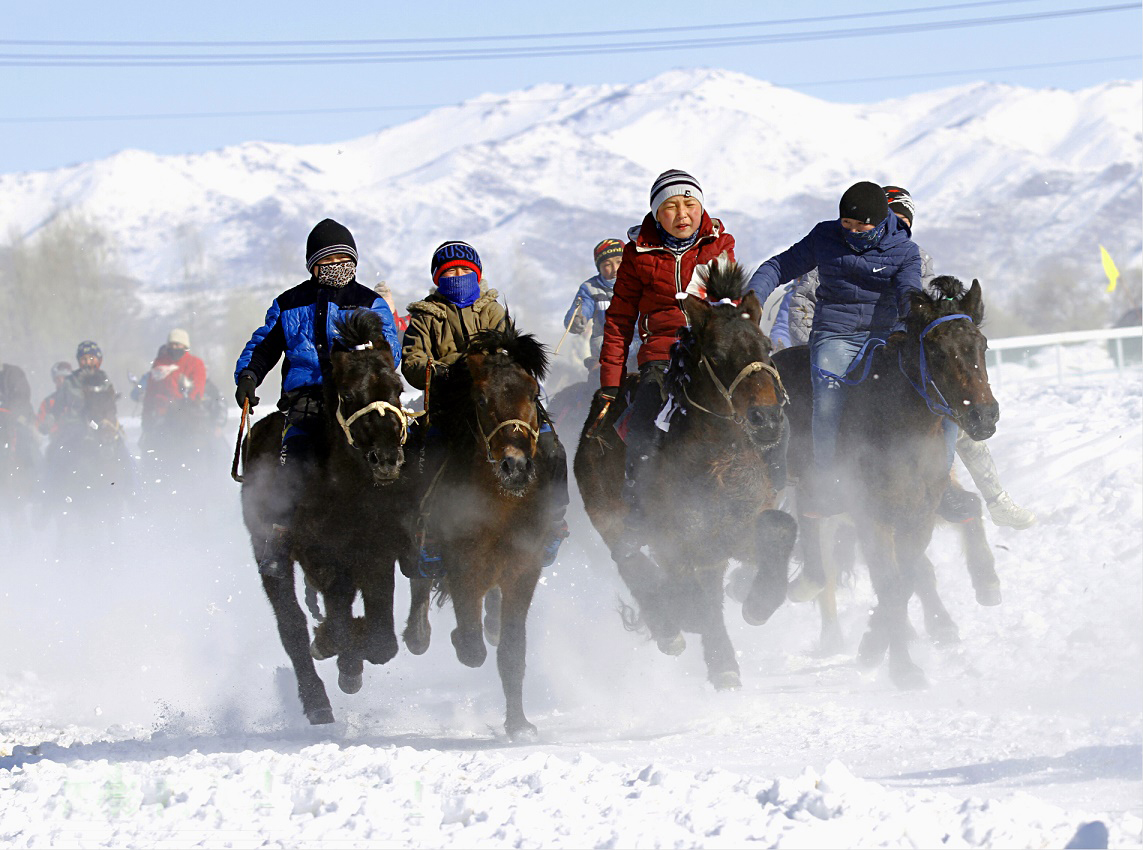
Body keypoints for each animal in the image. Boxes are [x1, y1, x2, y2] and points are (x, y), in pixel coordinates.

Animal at [241, 308, 416, 722]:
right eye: (349, 394)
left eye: (397, 390)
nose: (386, 460)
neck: (345, 492)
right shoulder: (323, 556)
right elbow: (332, 618)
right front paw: (335, 649)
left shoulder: (376, 554)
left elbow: (382, 640)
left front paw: (352, 654)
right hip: (271, 552)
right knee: (291, 623)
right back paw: (316, 698)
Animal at [402, 322, 557, 740]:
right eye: (483, 397)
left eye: (532, 393)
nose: (515, 466)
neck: (500, 505)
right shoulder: (463, 567)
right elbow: (471, 644)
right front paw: (458, 639)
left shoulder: (523, 569)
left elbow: (512, 651)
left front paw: (519, 725)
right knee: (419, 584)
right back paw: (418, 633)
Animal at [571, 263, 795, 690]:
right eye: (718, 354)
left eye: (766, 348)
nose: (767, 419)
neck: (719, 462)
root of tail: (595, 419)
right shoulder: (684, 540)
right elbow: (699, 595)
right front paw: (719, 659)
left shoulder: (738, 528)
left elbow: (779, 528)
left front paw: (759, 604)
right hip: (612, 520)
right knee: (632, 565)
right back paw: (669, 627)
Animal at [768, 275, 1001, 685]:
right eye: (936, 351)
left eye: (982, 345)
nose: (984, 415)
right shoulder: (871, 518)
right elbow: (892, 582)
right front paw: (902, 669)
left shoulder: (918, 516)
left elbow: (905, 579)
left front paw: (879, 648)